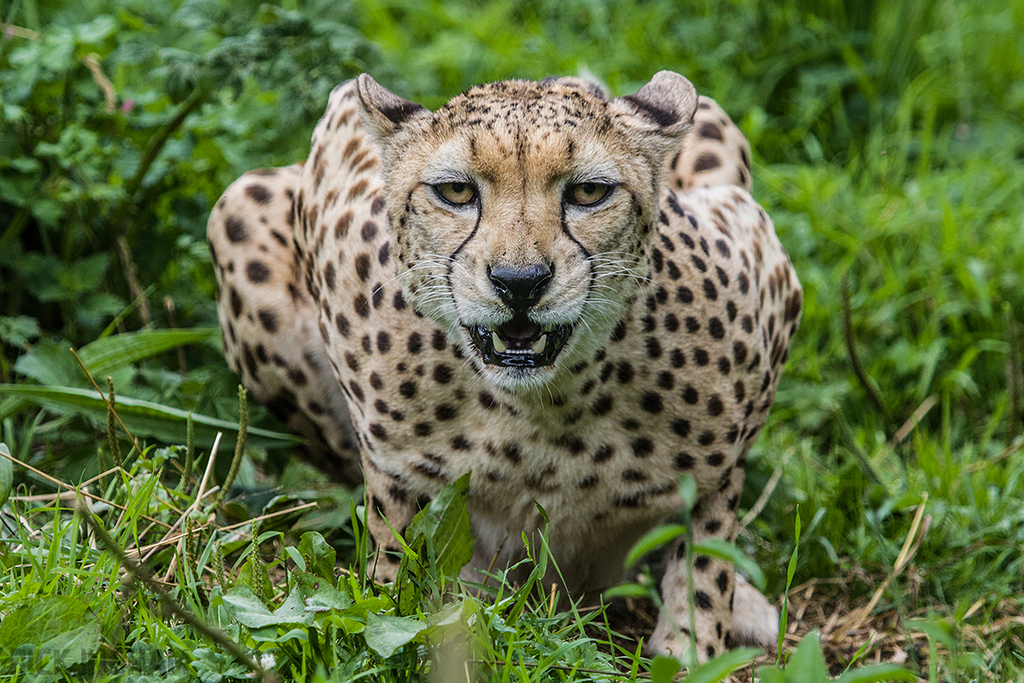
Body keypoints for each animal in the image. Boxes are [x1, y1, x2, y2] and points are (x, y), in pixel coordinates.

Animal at [205, 70, 798, 663]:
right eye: (457, 191)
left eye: (589, 192)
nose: (519, 282)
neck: (546, 408)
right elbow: (395, 584)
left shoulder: (761, 270)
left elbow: (705, 565)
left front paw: (695, 643)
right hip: (239, 212)